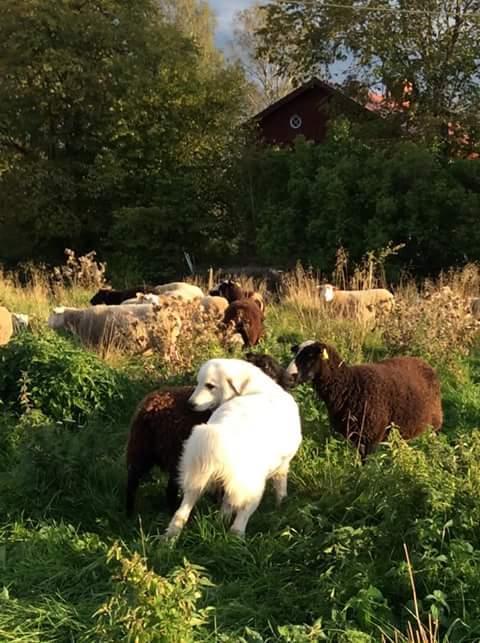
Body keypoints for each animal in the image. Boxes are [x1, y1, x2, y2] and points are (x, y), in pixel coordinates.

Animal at [125, 354, 292, 516]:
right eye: (269, 368)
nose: (288, 379)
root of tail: (150, 410)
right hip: (174, 454)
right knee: (171, 489)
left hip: (140, 449)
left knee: (132, 482)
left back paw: (129, 514)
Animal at [163, 360, 302, 540]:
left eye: (209, 385)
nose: (190, 404)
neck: (257, 389)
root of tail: (221, 437)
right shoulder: (282, 467)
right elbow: (281, 490)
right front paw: (281, 507)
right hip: (252, 487)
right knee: (240, 521)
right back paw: (236, 541)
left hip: (196, 479)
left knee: (181, 513)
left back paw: (169, 540)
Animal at [284, 340, 442, 460]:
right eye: (295, 354)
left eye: (310, 356)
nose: (288, 376)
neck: (349, 386)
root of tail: (425, 363)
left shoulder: (371, 438)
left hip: (433, 426)